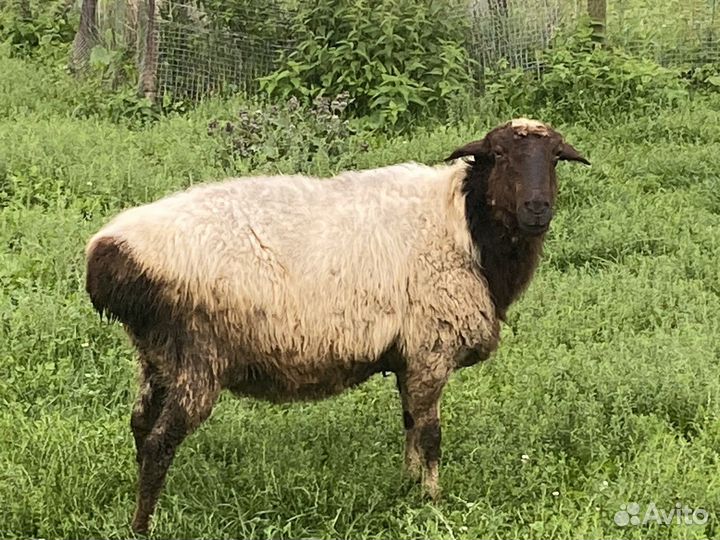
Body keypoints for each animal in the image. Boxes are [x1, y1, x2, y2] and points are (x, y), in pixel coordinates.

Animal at [85, 118, 589, 534]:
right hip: (198, 357)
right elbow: (430, 435)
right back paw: (142, 525)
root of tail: (107, 254)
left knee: (140, 424)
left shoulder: (409, 357)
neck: (464, 224)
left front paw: (407, 487)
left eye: (555, 157)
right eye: (499, 154)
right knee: (159, 442)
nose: (538, 208)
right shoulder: (431, 348)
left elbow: (409, 423)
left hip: (157, 355)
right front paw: (433, 500)